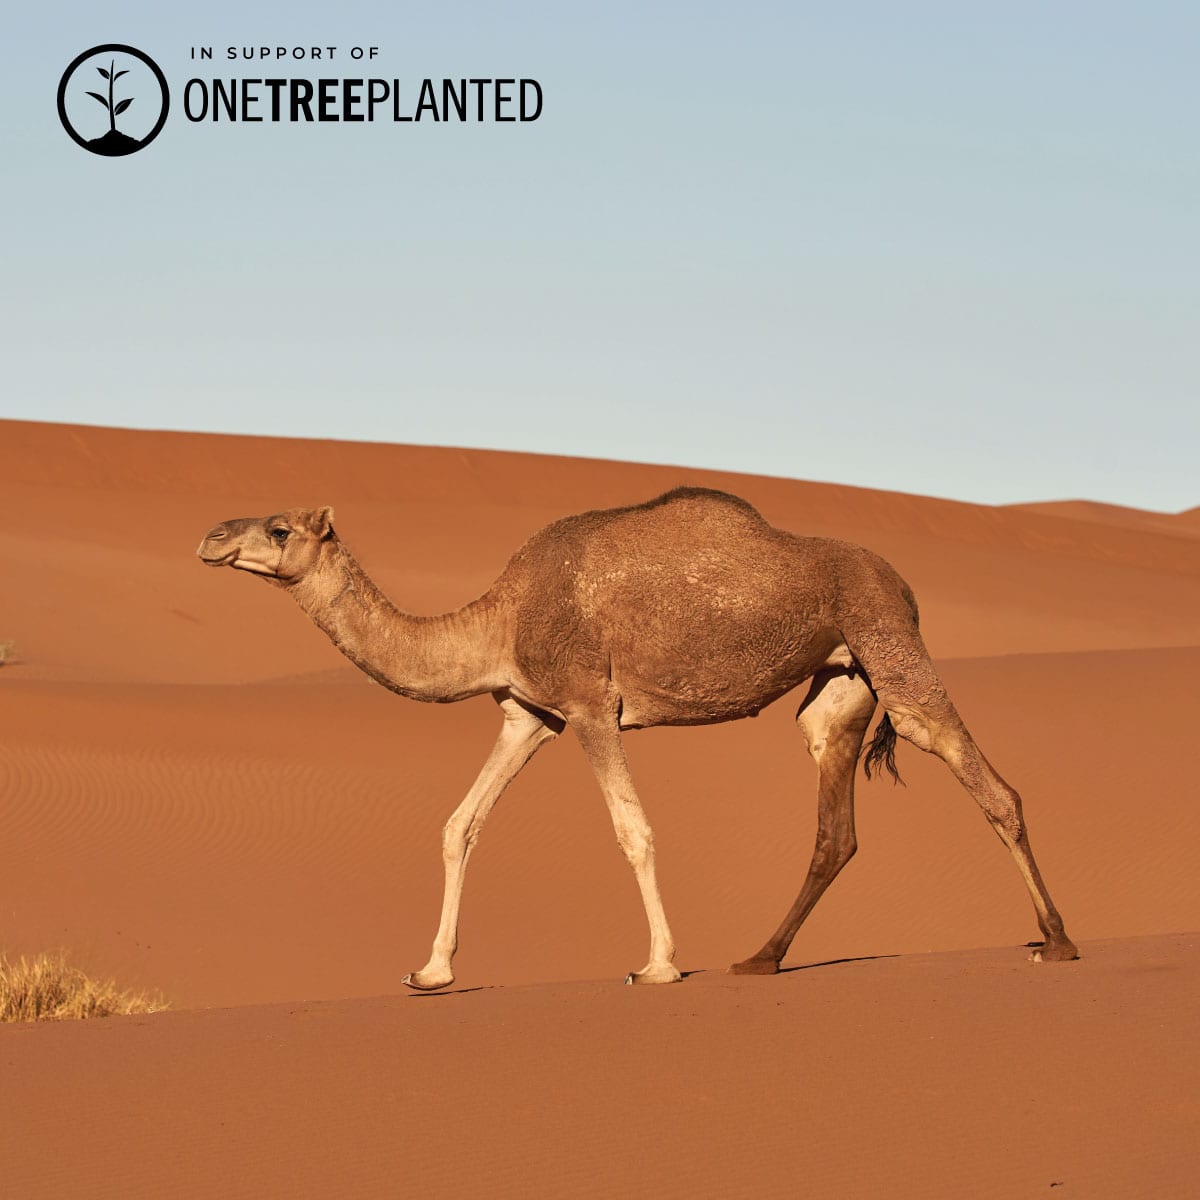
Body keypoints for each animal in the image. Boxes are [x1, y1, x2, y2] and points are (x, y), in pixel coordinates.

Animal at [197, 486, 1077, 988]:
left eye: (280, 529)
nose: (211, 538)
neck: (497, 622)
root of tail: (904, 582)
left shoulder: (591, 706)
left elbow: (633, 830)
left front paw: (657, 964)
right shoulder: (531, 714)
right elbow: (460, 824)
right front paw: (432, 970)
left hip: (888, 641)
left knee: (987, 780)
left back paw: (1058, 941)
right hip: (841, 679)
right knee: (835, 822)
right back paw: (760, 959)